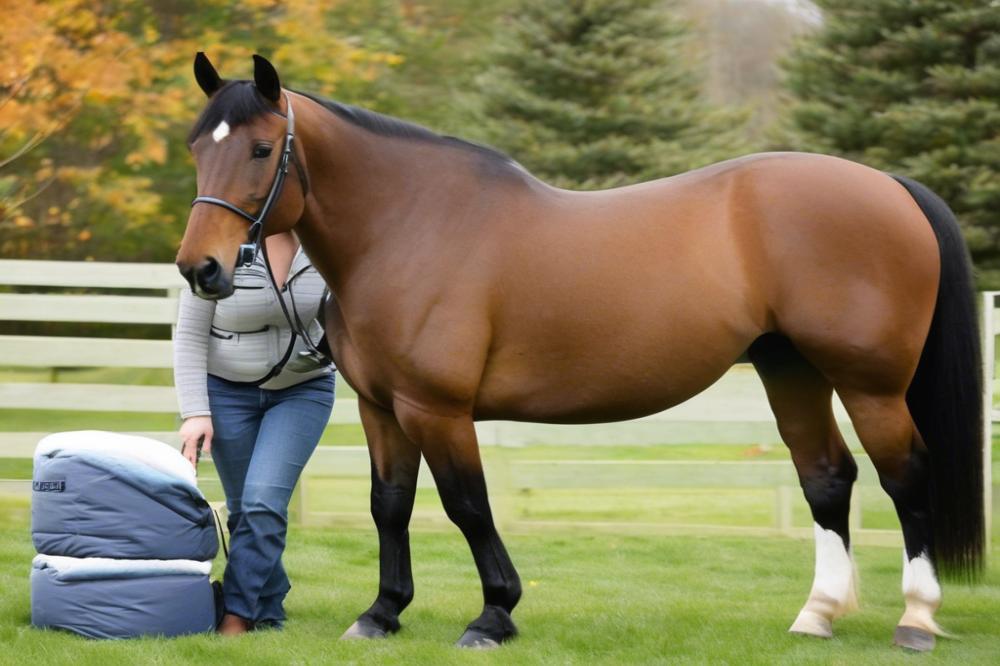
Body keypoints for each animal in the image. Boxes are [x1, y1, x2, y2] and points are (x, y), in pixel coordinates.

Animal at [178, 55, 984, 648]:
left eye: (260, 149)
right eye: (195, 150)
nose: (200, 270)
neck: (408, 225)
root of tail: (890, 187)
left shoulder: (438, 409)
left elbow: (468, 506)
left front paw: (493, 615)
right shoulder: (382, 407)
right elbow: (390, 506)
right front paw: (382, 613)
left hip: (870, 384)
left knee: (906, 476)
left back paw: (916, 617)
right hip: (792, 369)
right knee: (827, 478)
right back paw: (818, 614)